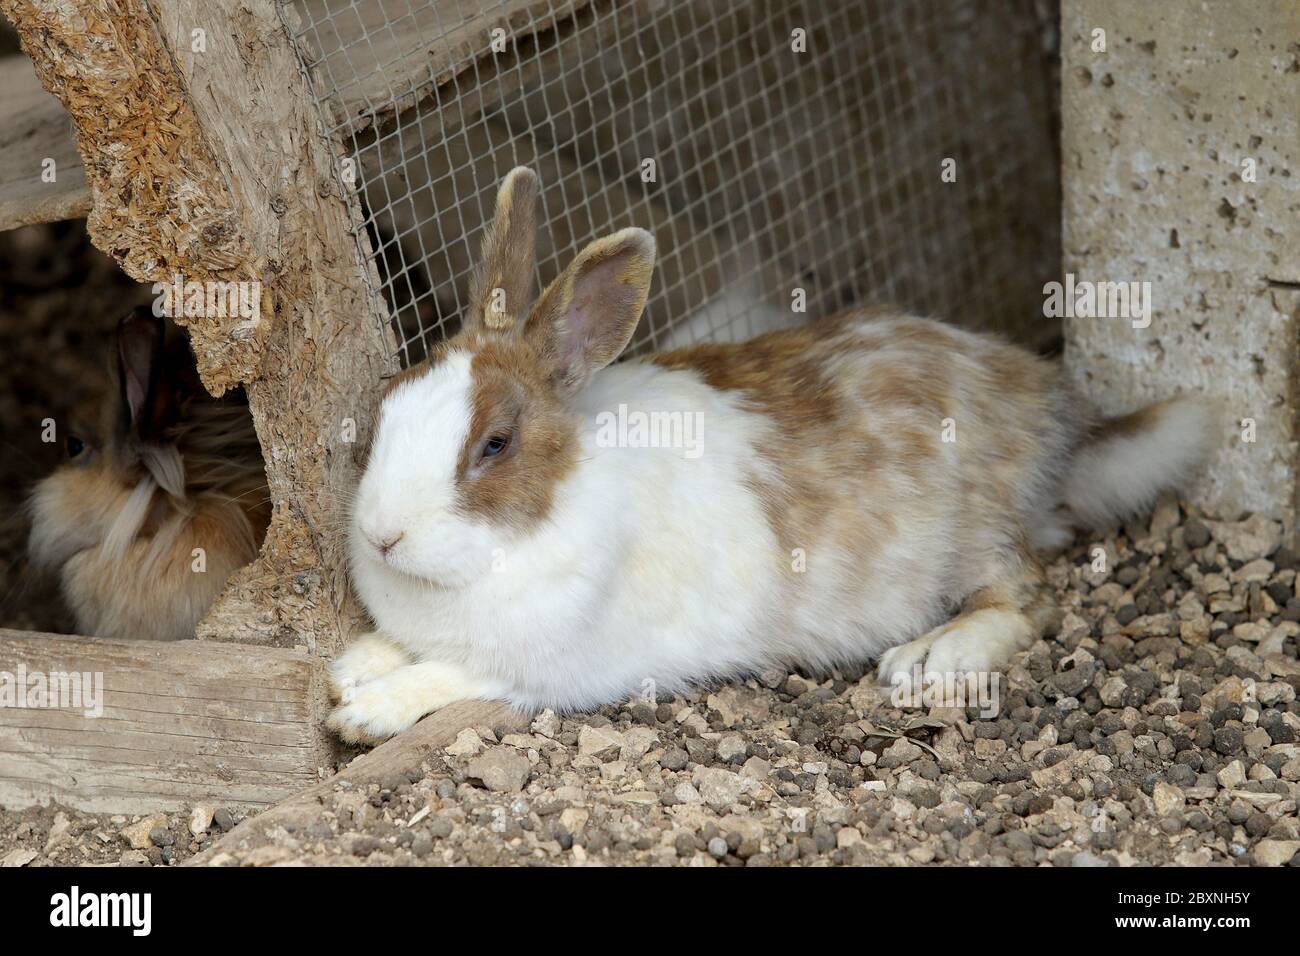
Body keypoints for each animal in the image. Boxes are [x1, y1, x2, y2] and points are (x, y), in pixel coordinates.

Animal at [327, 167, 1216, 743]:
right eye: (389, 399)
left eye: (495, 443)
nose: (381, 535)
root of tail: (1049, 410)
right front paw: (353, 664)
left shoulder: (555, 667)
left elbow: (455, 675)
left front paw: (364, 710)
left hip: (977, 537)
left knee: (1028, 600)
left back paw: (931, 658)